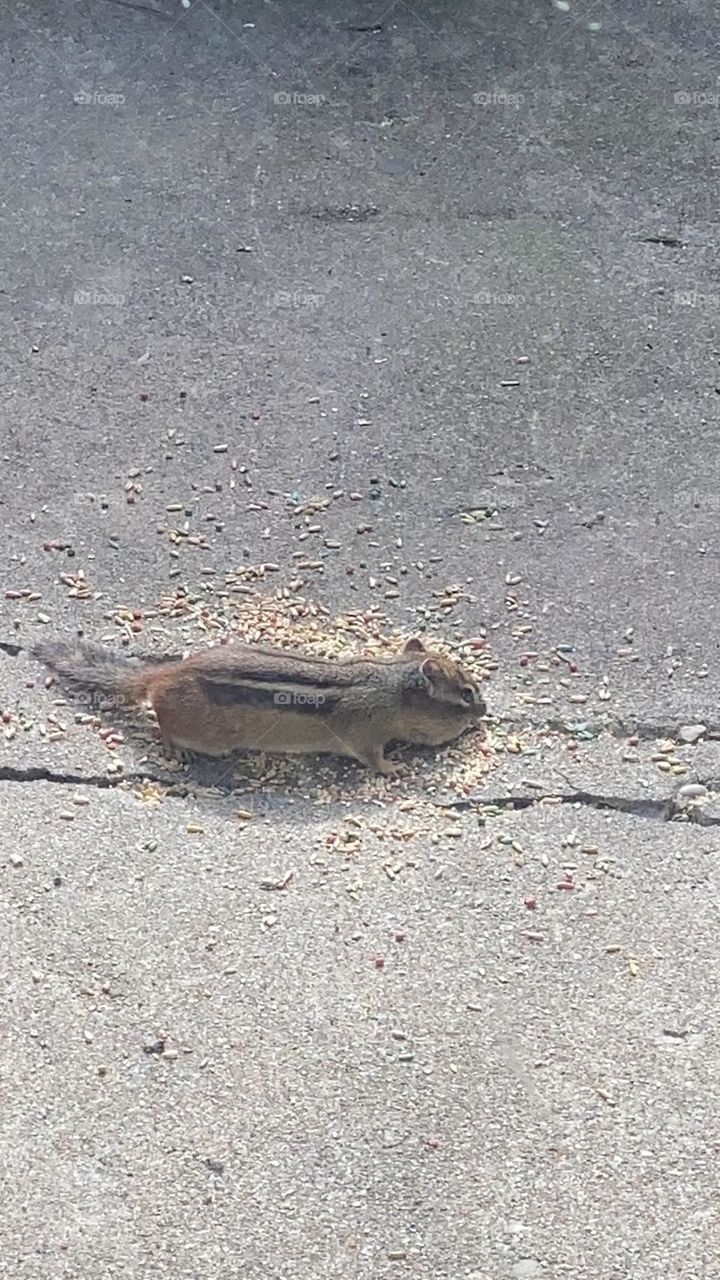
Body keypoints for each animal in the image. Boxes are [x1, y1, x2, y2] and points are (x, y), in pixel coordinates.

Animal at [31, 636, 486, 774]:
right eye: (464, 696)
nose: (484, 712)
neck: (389, 685)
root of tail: (166, 674)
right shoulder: (365, 734)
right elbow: (372, 758)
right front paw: (394, 768)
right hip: (207, 737)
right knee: (163, 724)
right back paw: (175, 749)